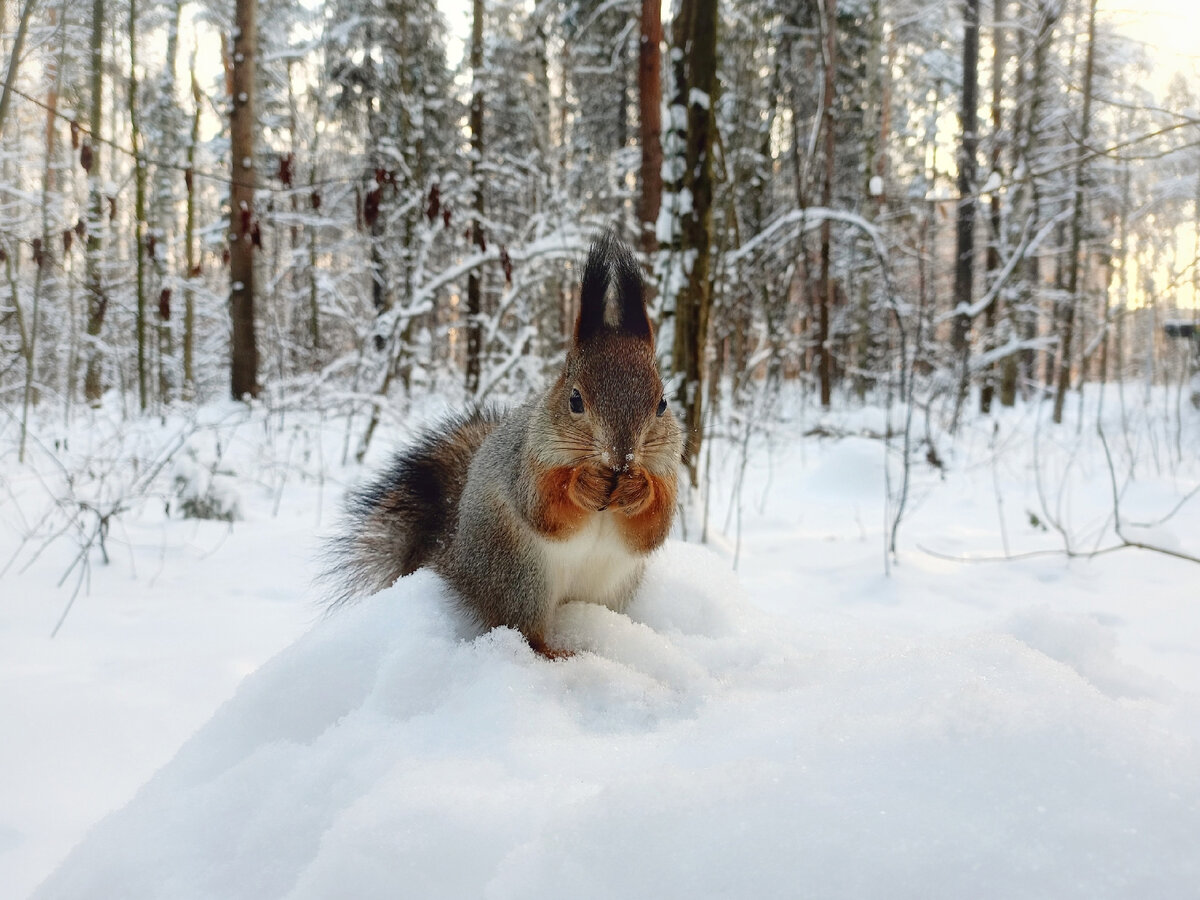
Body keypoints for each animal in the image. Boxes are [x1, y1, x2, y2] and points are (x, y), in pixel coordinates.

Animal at [326, 230, 686, 657]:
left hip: (608, 587)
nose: (622, 457)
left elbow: (652, 528)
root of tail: (456, 561)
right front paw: (584, 482)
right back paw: (554, 651)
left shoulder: (667, 470)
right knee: (523, 629)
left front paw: (638, 488)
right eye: (575, 400)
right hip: (519, 575)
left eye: (662, 403)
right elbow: (544, 508)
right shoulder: (527, 461)